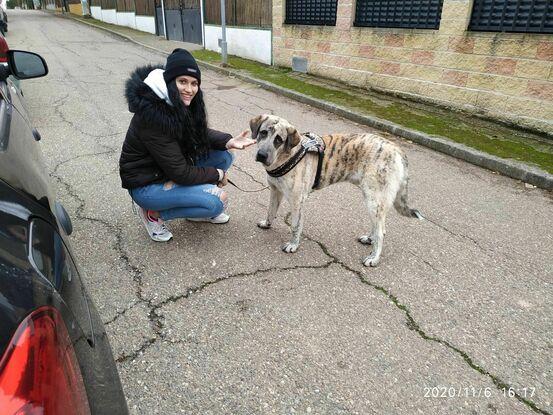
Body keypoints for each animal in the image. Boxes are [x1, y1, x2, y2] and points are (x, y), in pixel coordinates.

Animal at [248, 115, 420, 268]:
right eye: (263, 133)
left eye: (279, 140)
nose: (262, 155)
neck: (287, 156)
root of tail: (397, 150)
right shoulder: (275, 191)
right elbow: (271, 211)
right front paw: (267, 224)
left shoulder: (297, 202)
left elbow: (296, 226)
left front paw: (293, 245)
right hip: (374, 201)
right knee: (377, 226)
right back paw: (369, 239)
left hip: (374, 199)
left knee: (381, 231)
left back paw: (374, 258)